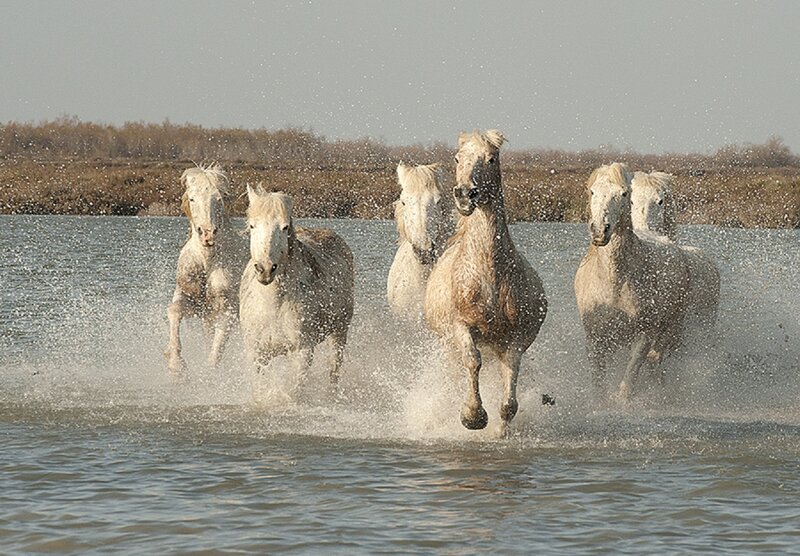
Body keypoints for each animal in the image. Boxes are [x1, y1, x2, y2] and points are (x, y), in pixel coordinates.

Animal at [165, 163, 242, 377]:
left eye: (219, 198)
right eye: (192, 198)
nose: (207, 234)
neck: (207, 262)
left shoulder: (227, 309)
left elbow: (218, 345)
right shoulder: (192, 300)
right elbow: (174, 311)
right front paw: (176, 364)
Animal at [239, 187, 355, 387]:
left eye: (285, 227)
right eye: (252, 225)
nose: (265, 269)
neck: (272, 305)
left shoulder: (302, 351)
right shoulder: (257, 355)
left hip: (339, 333)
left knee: (334, 371)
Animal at [424, 130, 548, 431]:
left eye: (491, 159)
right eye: (458, 158)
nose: (465, 194)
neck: (488, 276)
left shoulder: (515, 338)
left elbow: (510, 382)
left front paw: (500, 426)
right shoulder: (461, 326)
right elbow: (472, 361)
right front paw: (472, 416)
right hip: (448, 344)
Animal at [574, 163, 692, 400]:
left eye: (623, 193)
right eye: (592, 192)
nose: (600, 230)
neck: (615, 283)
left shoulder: (644, 335)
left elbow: (632, 374)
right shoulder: (595, 337)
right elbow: (598, 380)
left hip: (671, 327)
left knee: (655, 362)